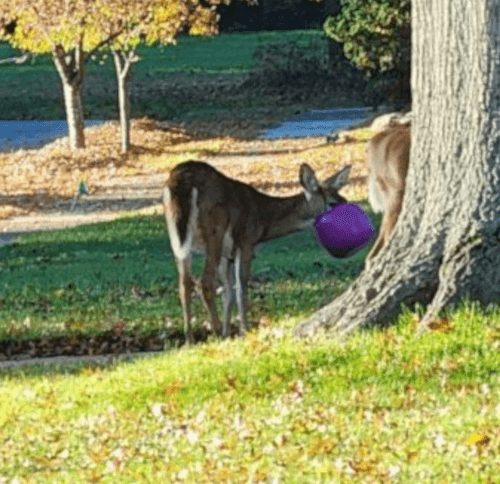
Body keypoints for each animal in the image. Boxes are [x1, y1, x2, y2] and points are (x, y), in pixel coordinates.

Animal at [164, 161, 352, 342]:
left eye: (344, 198)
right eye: (333, 203)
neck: (264, 221)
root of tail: (181, 181)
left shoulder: (227, 255)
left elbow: (228, 292)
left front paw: (228, 332)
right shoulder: (246, 242)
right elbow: (241, 288)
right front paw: (243, 331)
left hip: (177, 237)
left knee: (184, 284)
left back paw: (190, 338)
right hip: (214, 230)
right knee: (204, 282)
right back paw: (215, 332)